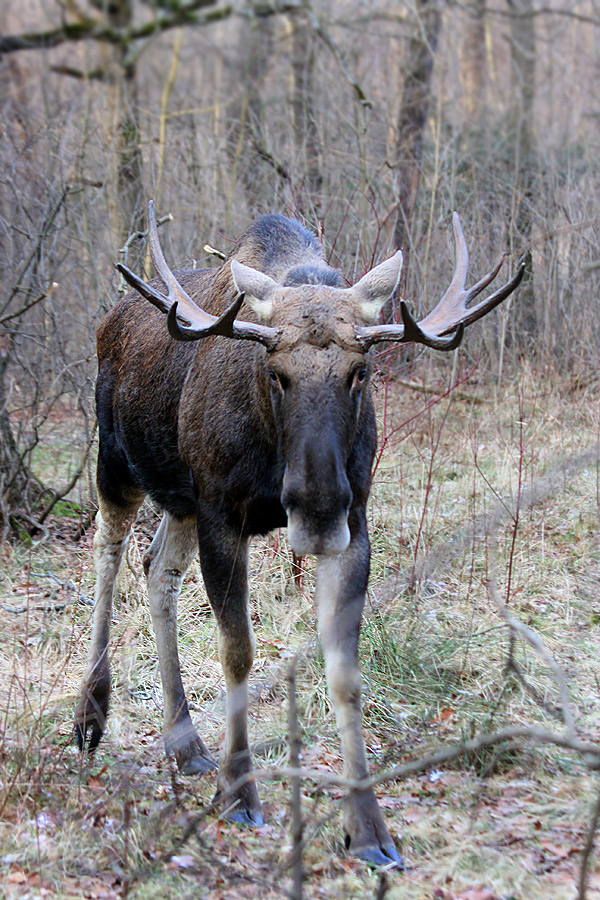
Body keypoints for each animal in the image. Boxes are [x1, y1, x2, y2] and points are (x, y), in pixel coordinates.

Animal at [75, 204, 524, 864]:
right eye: (276, 373)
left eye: (360, 372)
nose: (316, 505)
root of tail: (109, 318)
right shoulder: (222, 513)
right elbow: (238, 652)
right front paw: (240, 794)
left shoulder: (352, 523)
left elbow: (345, 671)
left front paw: (368, 827)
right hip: (117, 463)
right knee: (108, 556)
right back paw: (90, 713)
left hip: (181, 500)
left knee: (158, 571)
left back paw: (185, 743)